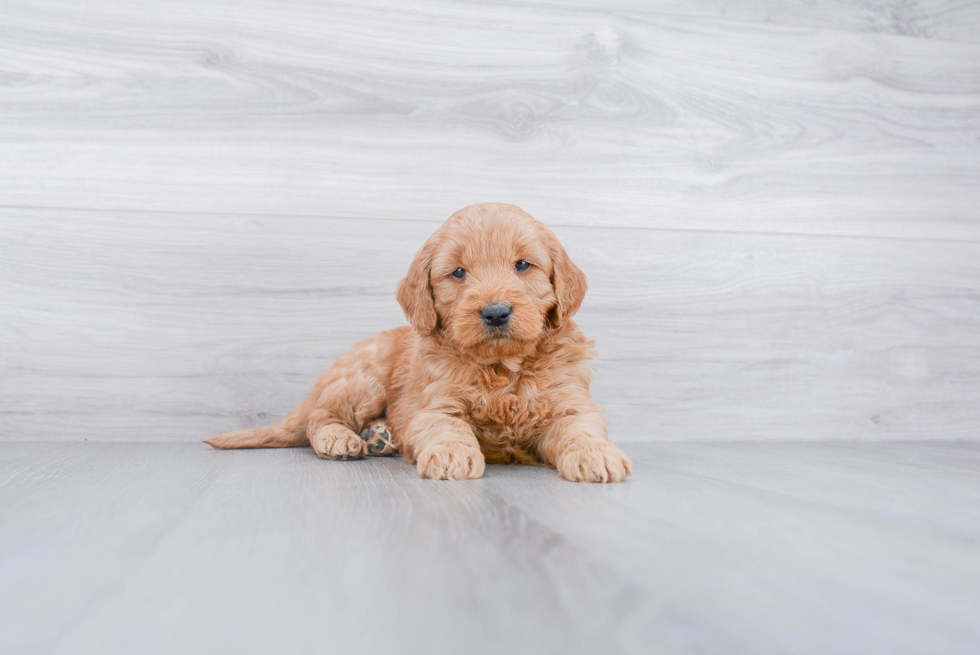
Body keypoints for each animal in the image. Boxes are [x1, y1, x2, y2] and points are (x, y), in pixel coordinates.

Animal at [208, 202, 636, 484]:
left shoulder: (569, 400)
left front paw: (596, 455)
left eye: (522, 265)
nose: (496, 313)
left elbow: (580, 427)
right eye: (458, 272)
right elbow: (447, 426)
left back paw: (379, 437)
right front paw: (451, 453)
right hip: (365, 376)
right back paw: (342, 438)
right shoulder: (434, 404)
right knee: (320, 417)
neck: (500, 368)